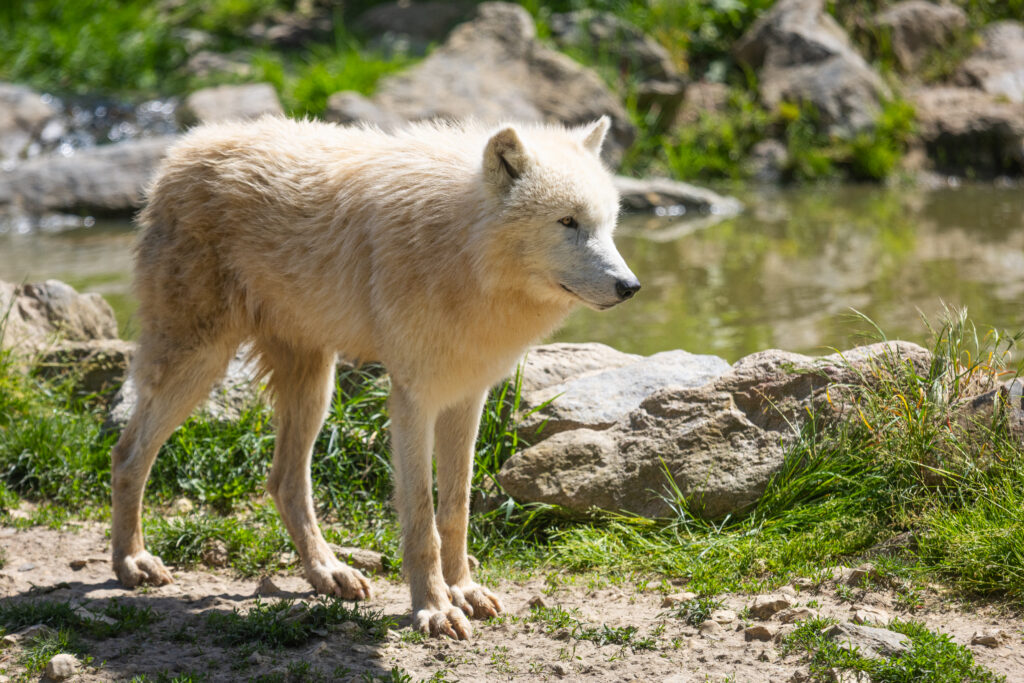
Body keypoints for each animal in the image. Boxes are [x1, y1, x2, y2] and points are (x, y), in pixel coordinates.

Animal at [110, 115, 639, 639]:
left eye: (607, 225)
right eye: (567, 221)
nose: (630, 286)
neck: (461, 248)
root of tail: (184, 147)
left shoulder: (467, 396)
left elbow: (456, 510)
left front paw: (463, 591)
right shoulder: (412, 400)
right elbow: (422, 519)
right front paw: (434, 608)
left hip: (314, 387)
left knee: (283, 482)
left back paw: (328, 572)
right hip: (200, 364)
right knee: (128, 454)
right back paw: (132, 561)